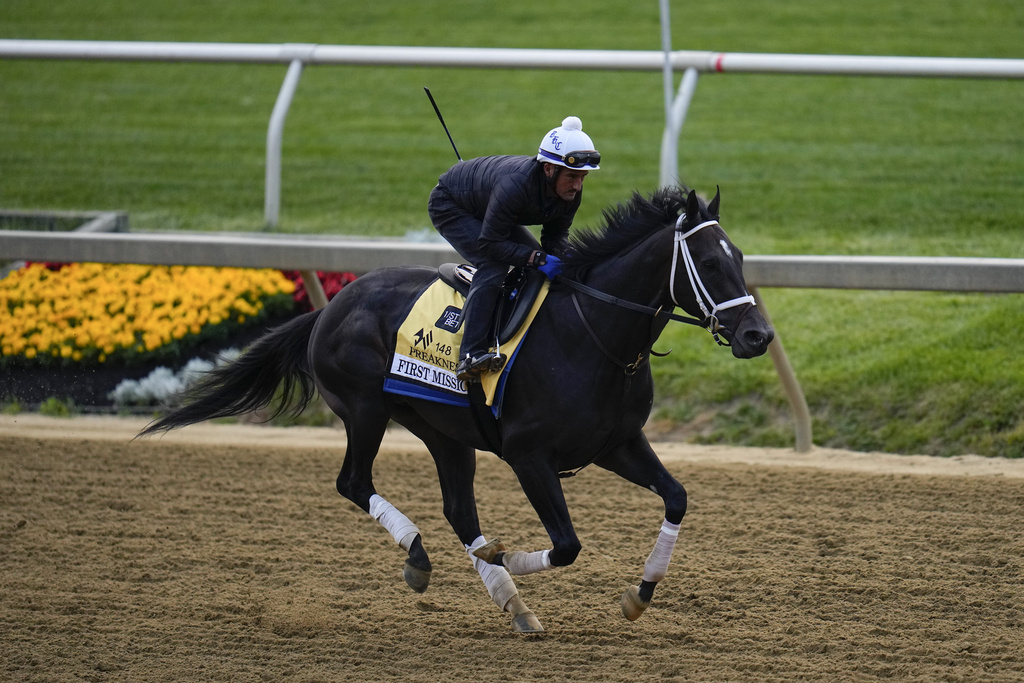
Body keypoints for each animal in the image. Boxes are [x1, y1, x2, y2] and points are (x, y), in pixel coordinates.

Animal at [140, 187, 770, 634]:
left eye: (740, 257)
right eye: (710, 263)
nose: (758, 335)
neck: (593, 335)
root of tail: (332, 305)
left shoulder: (616, 444)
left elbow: (677, 497)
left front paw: (638, 596)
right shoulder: (528, 455)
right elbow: (567, 545)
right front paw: (504, 553)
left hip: (445, 431)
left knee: (458, 509)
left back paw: (513, 605)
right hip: (365, 409)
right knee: (354, 482)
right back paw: (422, 557)